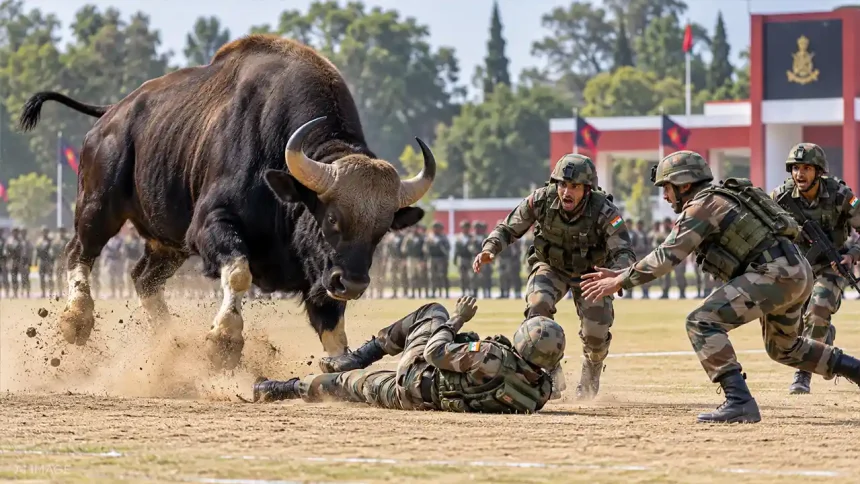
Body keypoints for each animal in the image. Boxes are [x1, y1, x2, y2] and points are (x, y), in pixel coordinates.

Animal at [18, 34, 436, 369]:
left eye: (382, 230)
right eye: (331, 218)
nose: (352, 282)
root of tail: (110, 116)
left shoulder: (320, 277)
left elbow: (334, 327)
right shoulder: (209, 225)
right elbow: (238, 272)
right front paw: (223, 341)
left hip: (166, 242)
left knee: (143, 278)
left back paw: (169, 345)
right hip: (98, 204)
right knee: (79, 251)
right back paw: (77, 319)